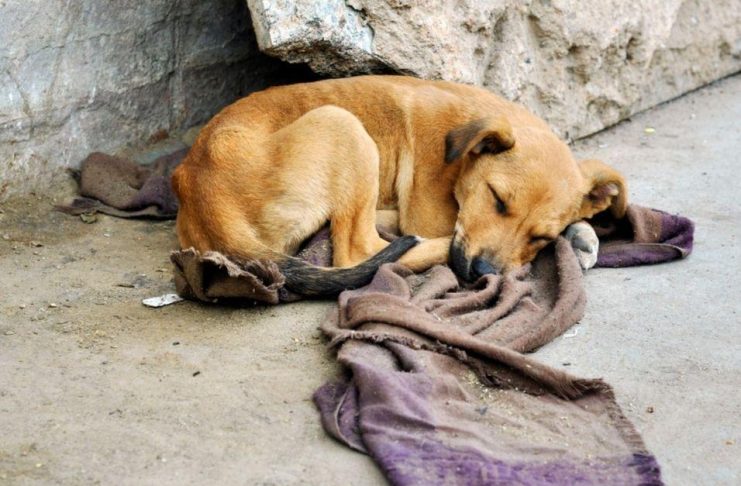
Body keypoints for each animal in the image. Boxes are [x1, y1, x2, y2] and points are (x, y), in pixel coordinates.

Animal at [172, 75, 626, 295]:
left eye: (540, 236)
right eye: (497, 199)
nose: (481, 274)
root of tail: (200, 190)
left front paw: (581, 233)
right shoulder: (432, 213)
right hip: (343, 125)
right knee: (359, 251)